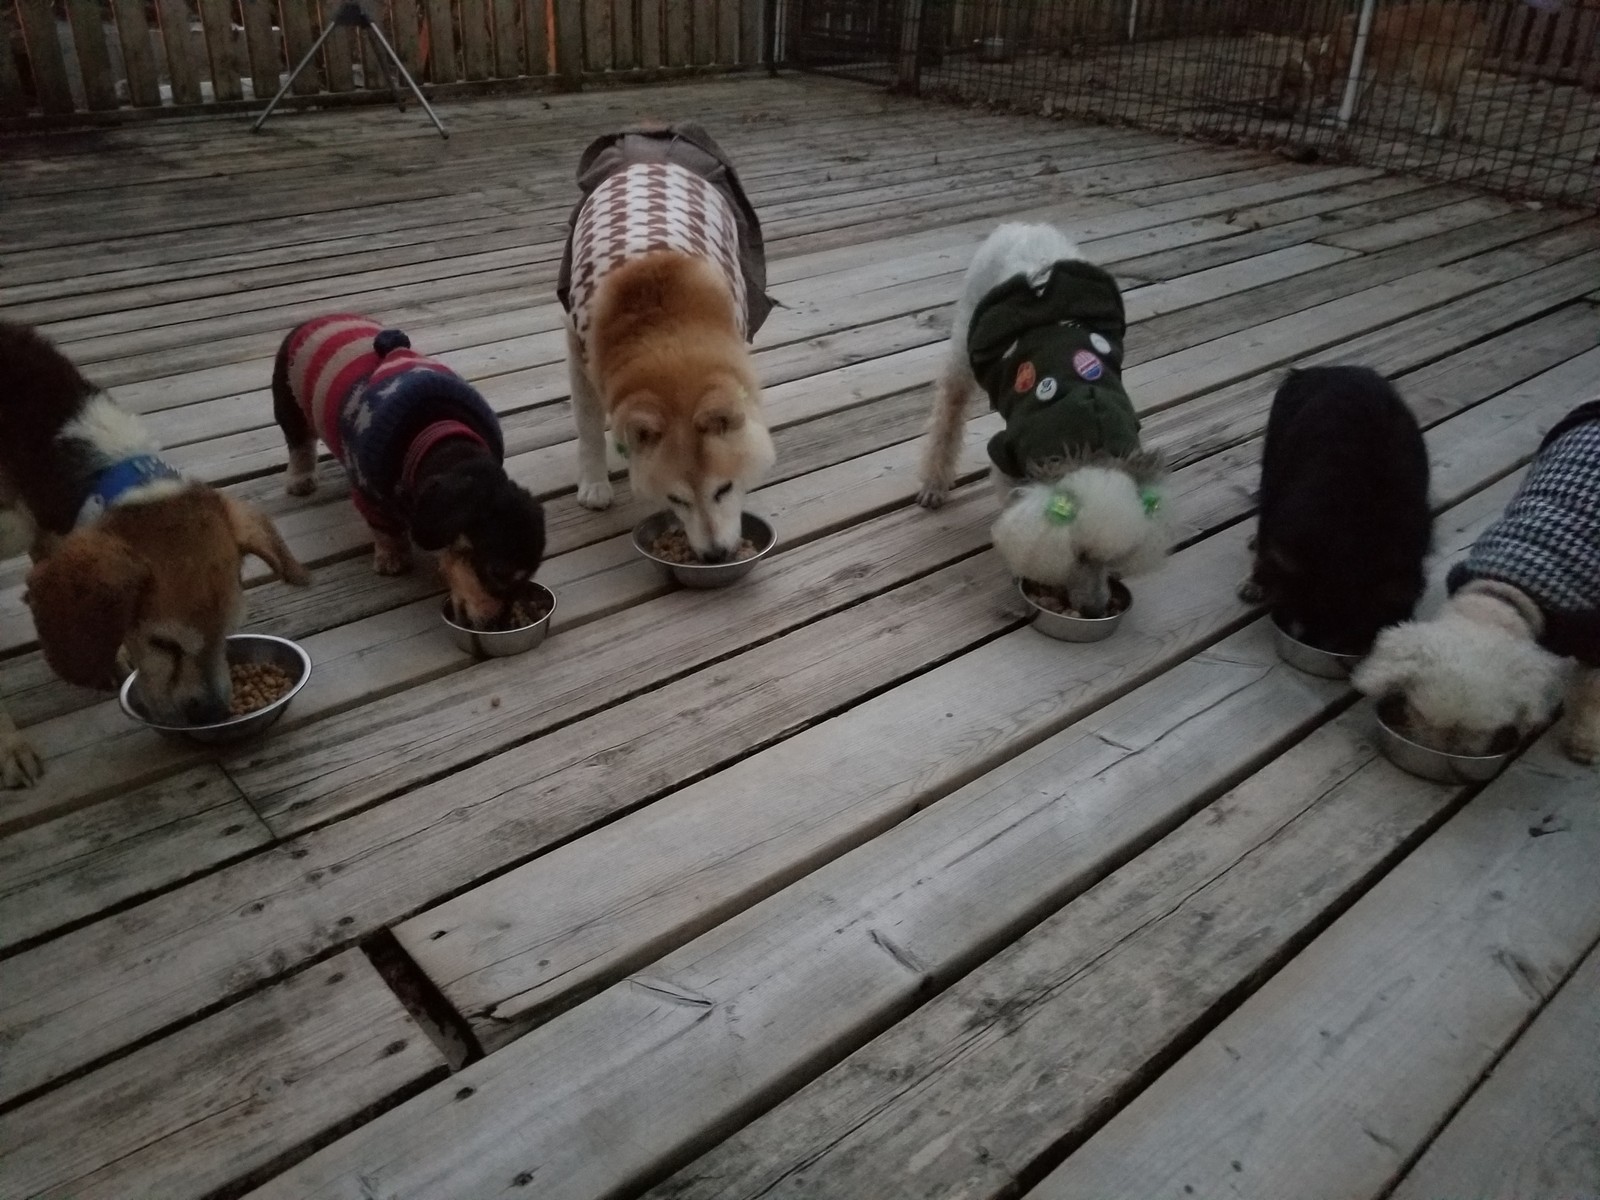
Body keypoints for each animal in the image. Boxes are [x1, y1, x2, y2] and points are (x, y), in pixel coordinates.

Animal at [272, 315, 545, 627]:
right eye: (497, 572)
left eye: (529, 575)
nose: (497, 626)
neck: (438, 434)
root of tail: (314, 320)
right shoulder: (371, 495)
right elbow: (386, 531)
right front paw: (392, 559)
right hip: (289, 405)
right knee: (300, 446)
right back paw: (300, 480)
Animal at [558, 123, 777, 562]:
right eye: (676, 500)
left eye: (724, 489)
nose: (715, 556)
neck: (666, 334)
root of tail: (653, 144)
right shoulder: (578, 347)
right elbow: (588, 426)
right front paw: (594, 484)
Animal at [917, 222, 1173, 617]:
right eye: (1078, 555)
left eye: (1114, 557)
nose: (1096, 609)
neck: (1089, 441)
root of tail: (1023, 226)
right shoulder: (1007, 456)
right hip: (966, 337)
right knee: (950, 404)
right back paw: (934, 483)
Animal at [1276, 2, 1488, 137]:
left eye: (1287, 90)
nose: (1280, 112)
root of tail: (1476, 19)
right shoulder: (1376, 71)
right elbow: (1363, 96)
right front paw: (1351, 116)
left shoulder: (1370, 68)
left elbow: (1357, 95)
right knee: (1453, 98)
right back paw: (1448, 130)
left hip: (1422, 68)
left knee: (1446, 100)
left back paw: (1435, 131)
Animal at [1354, 400, 1600, 764]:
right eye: (1417, 713)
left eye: (1481, 731)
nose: (1440, 752)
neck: (1505, 595)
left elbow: (1594, 691)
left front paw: (1586, 741)